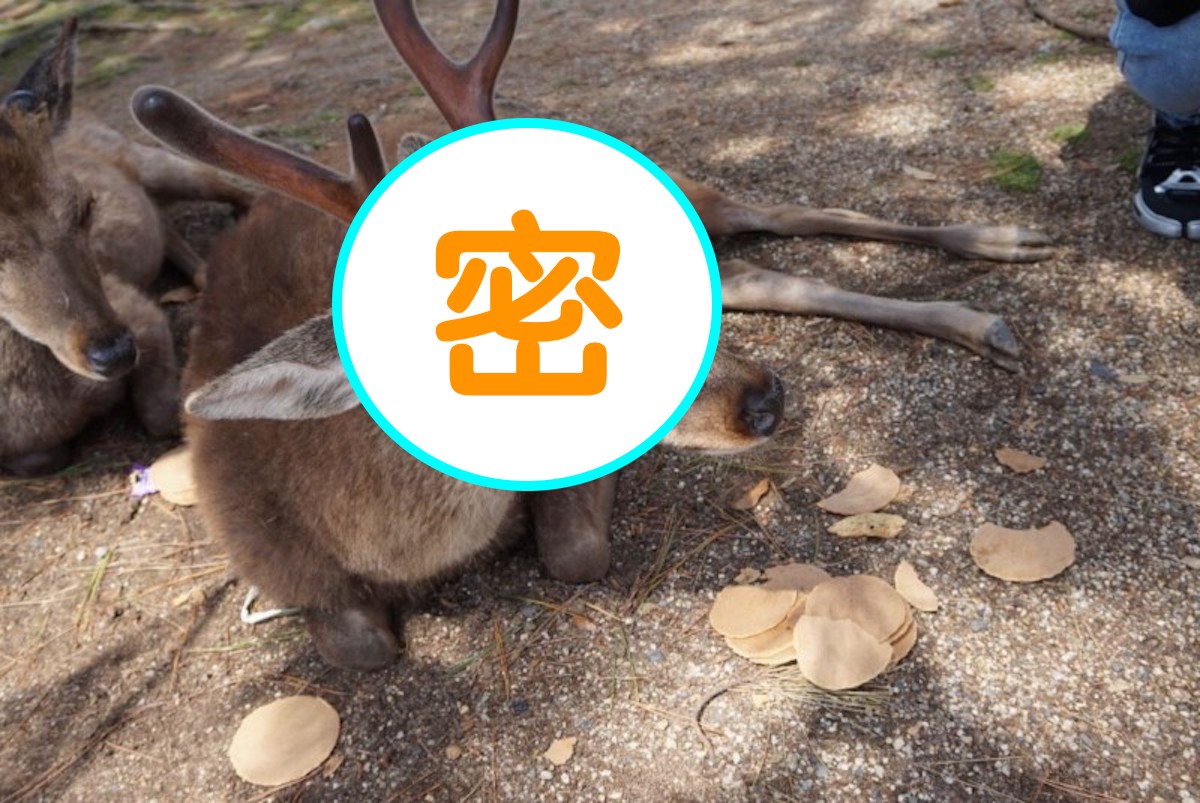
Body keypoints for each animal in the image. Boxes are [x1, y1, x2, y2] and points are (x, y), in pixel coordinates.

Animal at [0, 19, 252, 476]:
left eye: (85, 205)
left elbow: (162, 414)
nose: (114, 352)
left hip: (158, 159)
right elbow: (40, 459)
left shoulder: (138, 311)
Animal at [128, 0, 1052, 671]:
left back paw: (1004, 243)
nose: (764, 399)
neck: (401, 550)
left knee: (776, 209)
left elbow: (575, 552)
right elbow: (363, 648)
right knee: (764, 274)